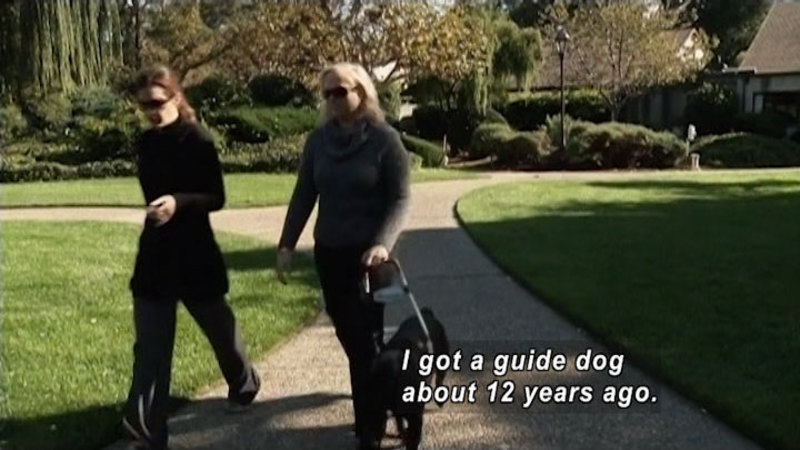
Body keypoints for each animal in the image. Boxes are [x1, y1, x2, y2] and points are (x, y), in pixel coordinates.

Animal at [360, 306, 450, 450]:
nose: (366, 442)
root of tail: (426, 313)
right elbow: (400, 423)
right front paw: (403, 434)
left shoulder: (414, 417)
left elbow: (413, 437)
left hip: (443, 359)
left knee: (439, 380)